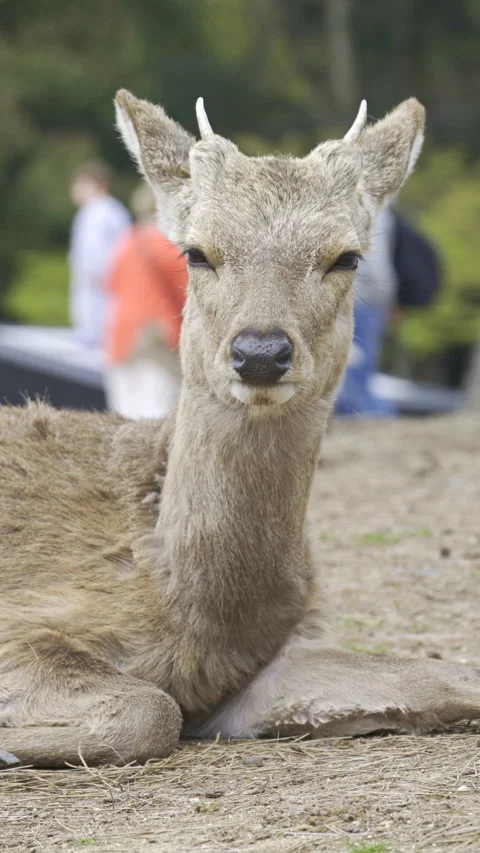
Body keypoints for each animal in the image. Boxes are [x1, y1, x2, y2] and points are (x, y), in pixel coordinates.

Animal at [1, 91, 480, 770]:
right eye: (195, 252)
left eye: (346, 256)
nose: (260, 353)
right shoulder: (22, 619)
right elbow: (150, 709)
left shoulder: (265, 667)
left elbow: (445, 674)